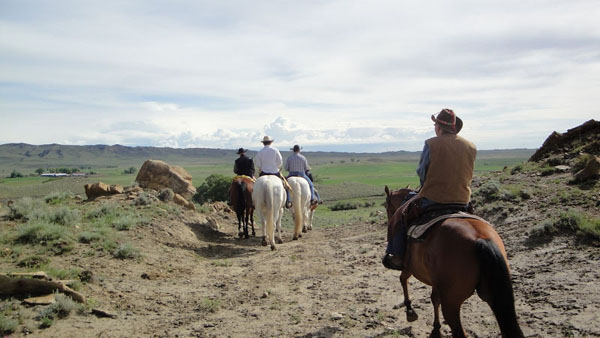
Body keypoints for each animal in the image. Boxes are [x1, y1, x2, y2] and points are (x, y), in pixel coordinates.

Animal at [386, 186, 524, 336]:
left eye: (386, 206)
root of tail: (480, 239)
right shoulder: (436, 282)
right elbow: (434, 299)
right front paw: (436, 327)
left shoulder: (409, 267)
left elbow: (403, 279)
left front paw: (410, 311)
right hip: (491, 295)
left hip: (452, 303)